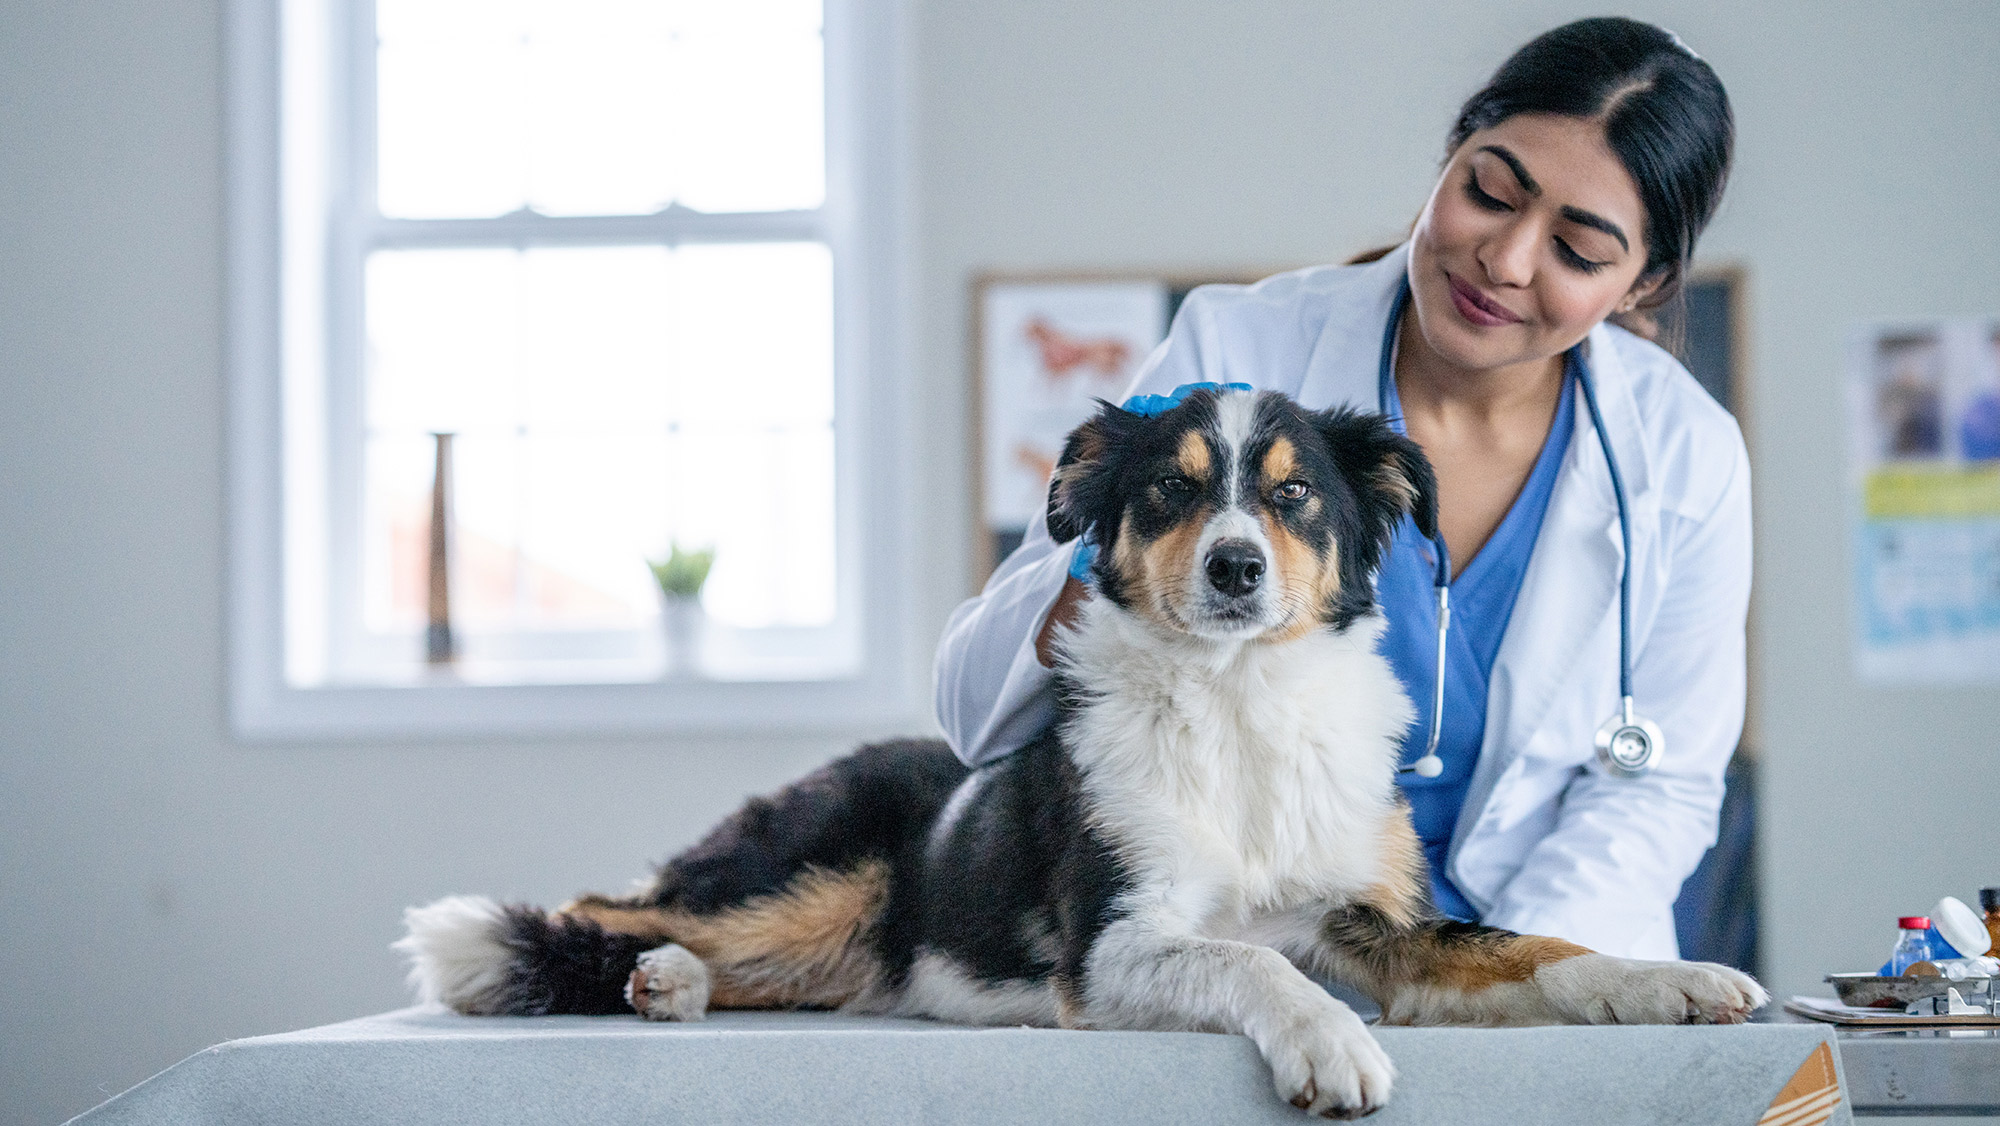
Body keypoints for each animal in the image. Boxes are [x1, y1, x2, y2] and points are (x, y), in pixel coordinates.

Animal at [394, 388, 1768, 1120]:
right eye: (1168, 489)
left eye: (1293, 495)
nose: (1235, 567)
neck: (1235, 705)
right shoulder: (1111, 949)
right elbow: (1246, 960)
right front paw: (1326, 1042)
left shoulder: (1368, 923)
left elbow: (1524, 946)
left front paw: (1668, 980)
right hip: (813, 869)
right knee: (614, 902)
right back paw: (582, 964)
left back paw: (666, 986)